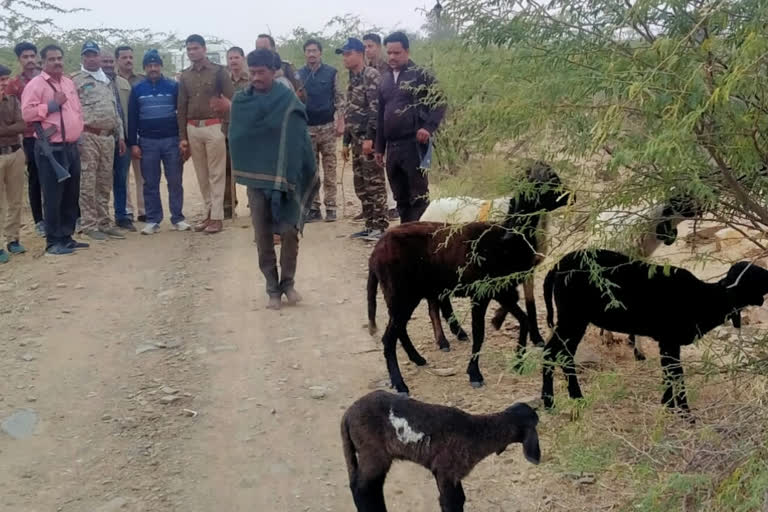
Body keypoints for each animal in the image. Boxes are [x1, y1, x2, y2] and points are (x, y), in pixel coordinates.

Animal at [342, 390, 540, 510]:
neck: (478, 432)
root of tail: (347, 415)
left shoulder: (451, 473)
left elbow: (459, 498)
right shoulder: (446, 470)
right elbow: (451, 503)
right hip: (373, 453)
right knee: (363, 488)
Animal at [368, 162, 572, 394]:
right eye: (547, 182)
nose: (570, 196)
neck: (506, 237)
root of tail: (376, 253)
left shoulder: (502, 291)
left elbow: (524, 319)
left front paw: (518, 360)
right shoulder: (481, 295)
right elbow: (480, 333)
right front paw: (475, 374)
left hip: (406, 294)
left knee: (400, 328)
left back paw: (418, 358)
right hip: (402, 293)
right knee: (390, 337)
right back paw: (401, 382)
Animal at [540, 250, 768, 414]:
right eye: (757, 276)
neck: (705, 298)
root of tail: (555, 268)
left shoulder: (666, 342)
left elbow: (668, 372)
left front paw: (668, 405)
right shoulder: (670, 339)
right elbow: (675, 373)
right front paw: (684, 412)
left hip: (575, 320)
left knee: (565, 354)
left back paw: (575, 398)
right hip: (572, 317)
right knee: (552, 353)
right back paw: (550, 403)